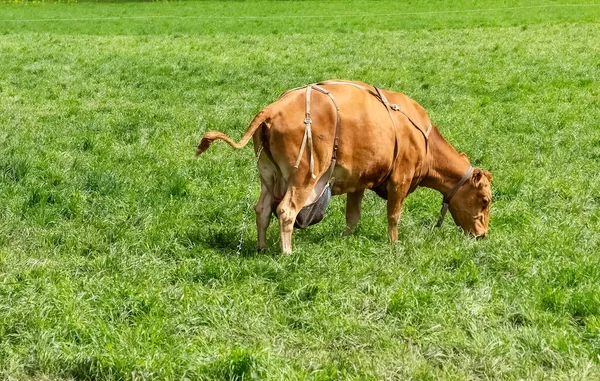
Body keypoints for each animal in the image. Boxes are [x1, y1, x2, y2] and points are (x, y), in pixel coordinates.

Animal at [197, 79, 492, 252]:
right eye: (485, 200)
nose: (483, 235)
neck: (424, 140)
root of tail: (273, 108)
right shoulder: (400, 179)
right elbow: (394, 215)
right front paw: (394, 244)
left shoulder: (358, 181)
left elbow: (353, 216)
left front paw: (346, 239)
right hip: (303, 176)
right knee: (285, 211)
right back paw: (287, 252)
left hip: (268, 175)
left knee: (262, 209)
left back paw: (261, 247)